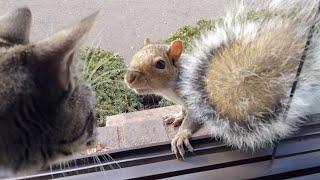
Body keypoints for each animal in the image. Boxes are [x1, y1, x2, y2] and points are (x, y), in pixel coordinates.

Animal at [124, 0, 320, 158]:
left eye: (160, 64)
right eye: (136, 54)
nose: (129, 77)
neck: (171, 89)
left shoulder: (196, 98)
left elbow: (192, 118)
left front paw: (181, 135)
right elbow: (182, 111)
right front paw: (176, 116)